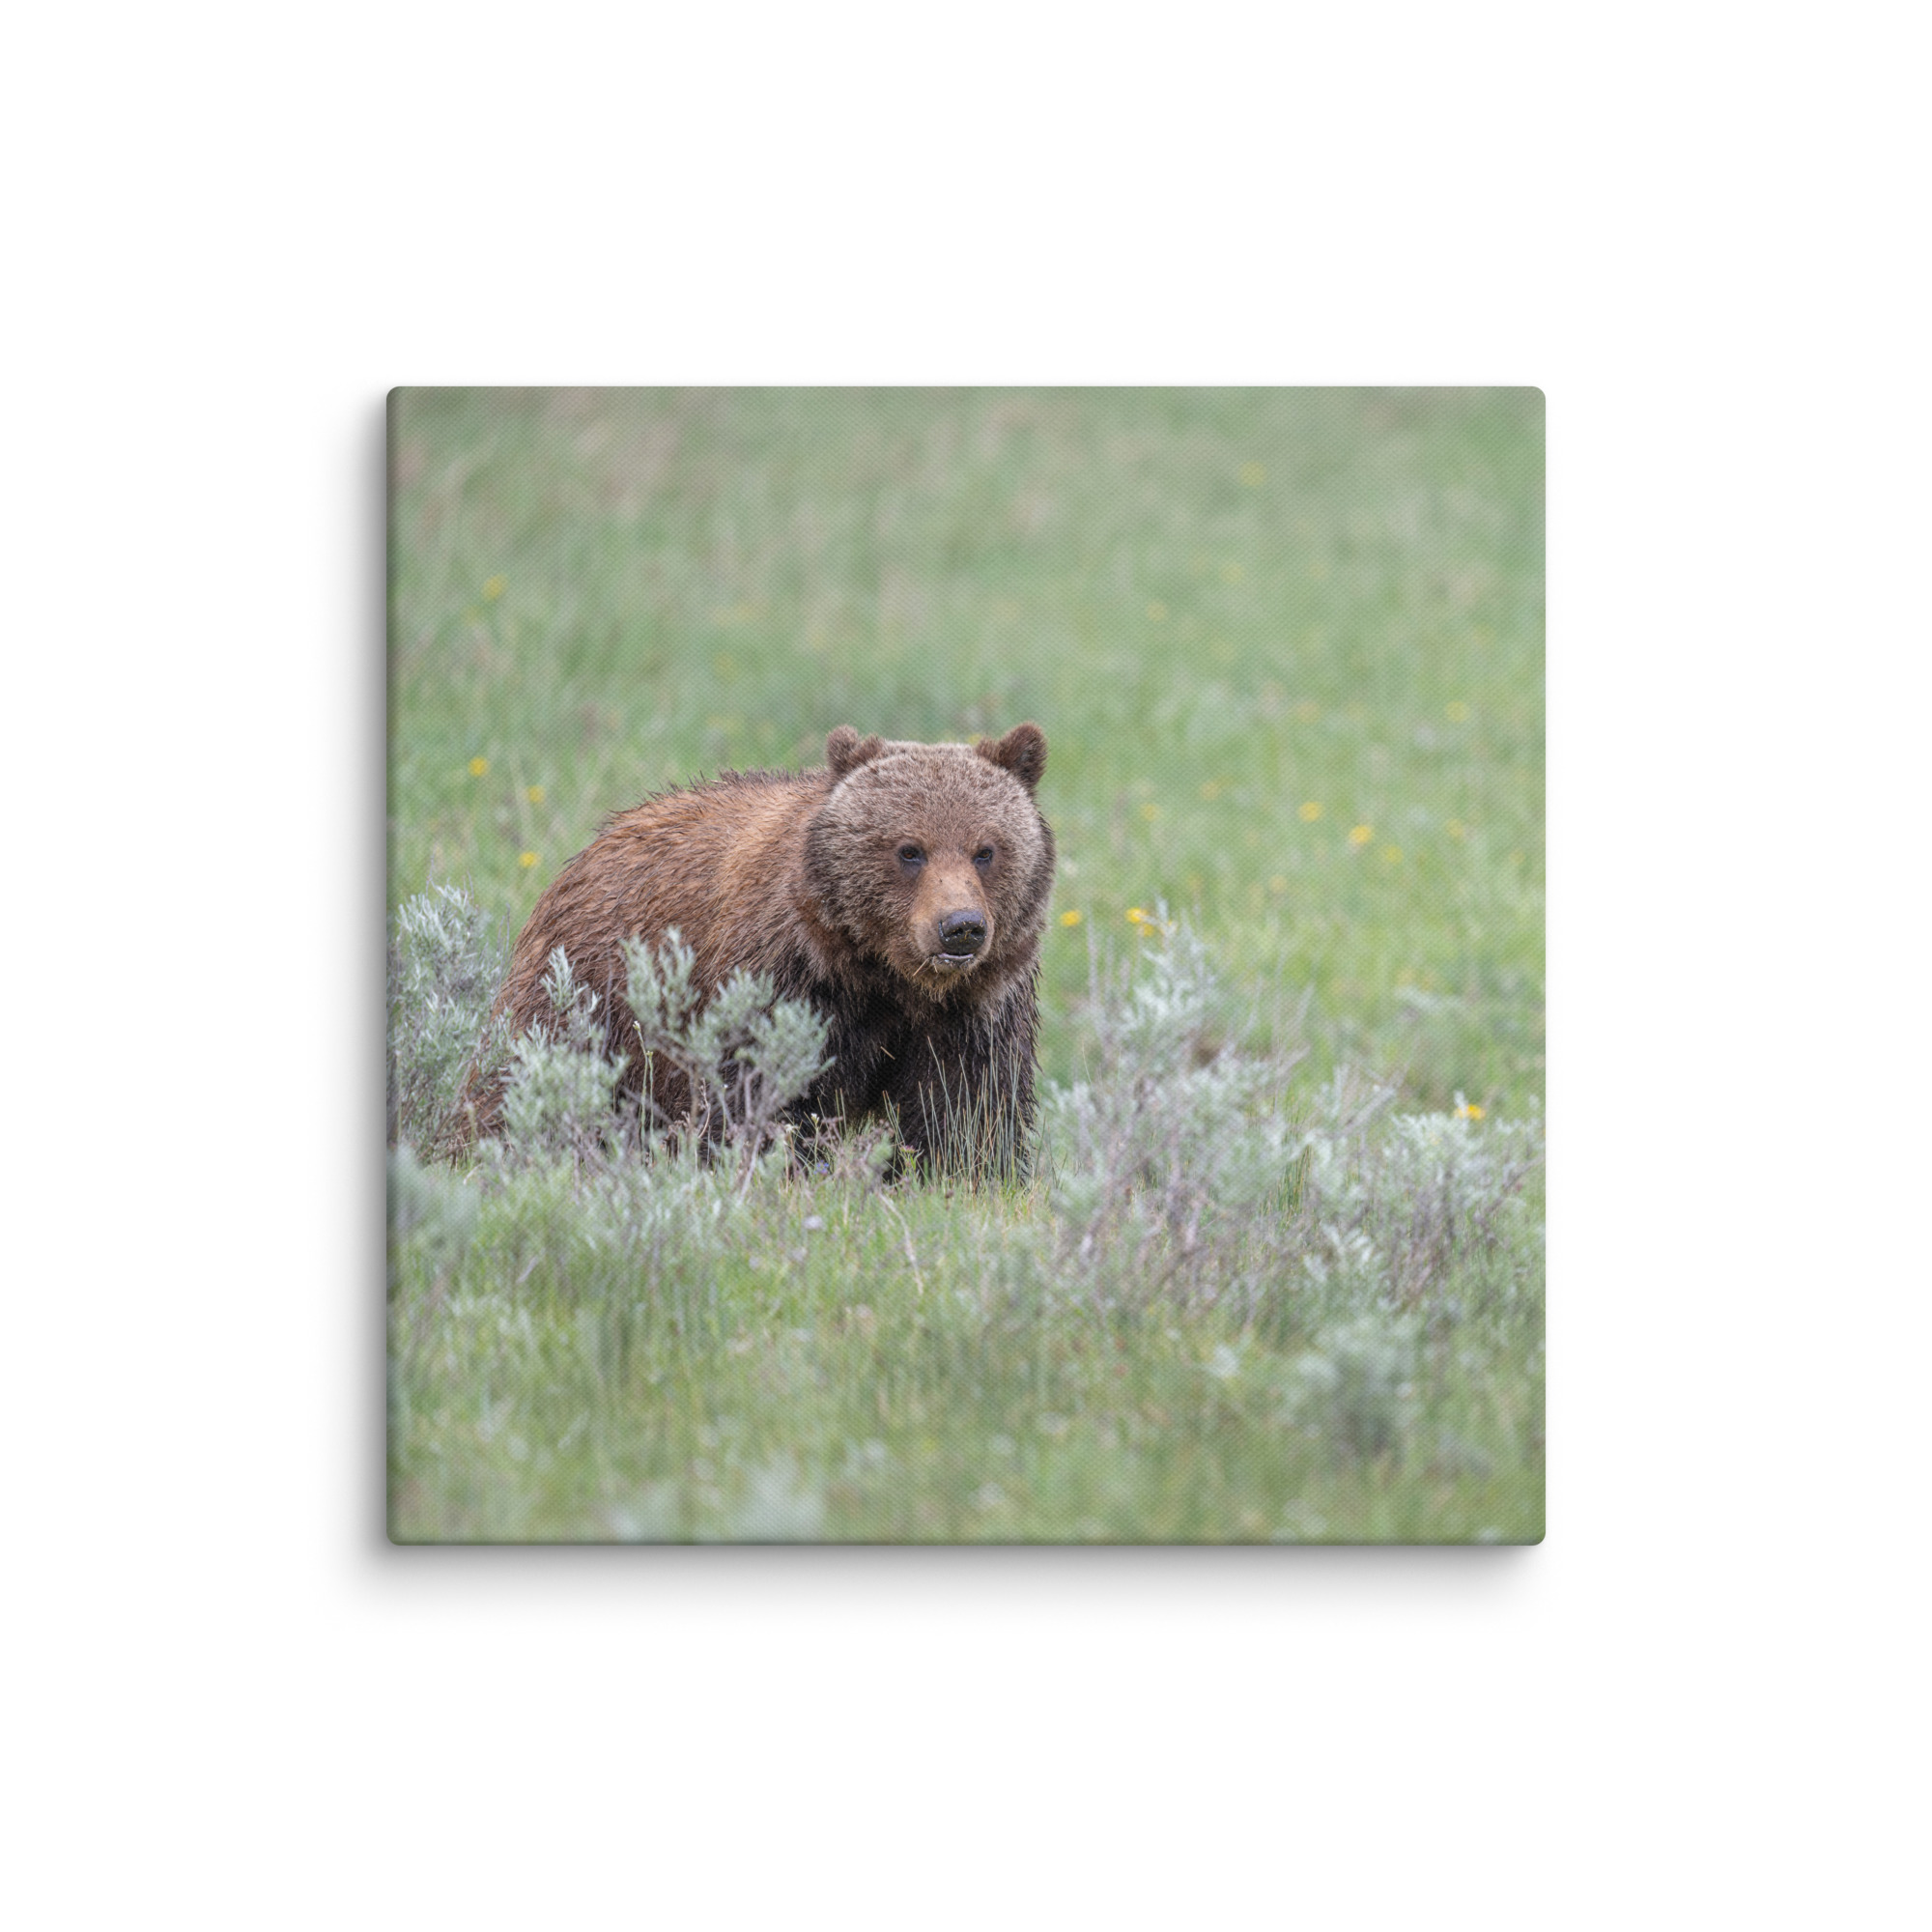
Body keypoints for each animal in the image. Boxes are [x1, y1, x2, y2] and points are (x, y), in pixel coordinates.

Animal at [460, 722, 1055, 1176]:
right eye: (910, 850)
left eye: (986, 850)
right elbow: (757, 1095)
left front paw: (960, 1175)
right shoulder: (784, 982)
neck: (884, 976)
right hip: (587, 991)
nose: (960, 927)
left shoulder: (973, 1009)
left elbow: (965, 1110)